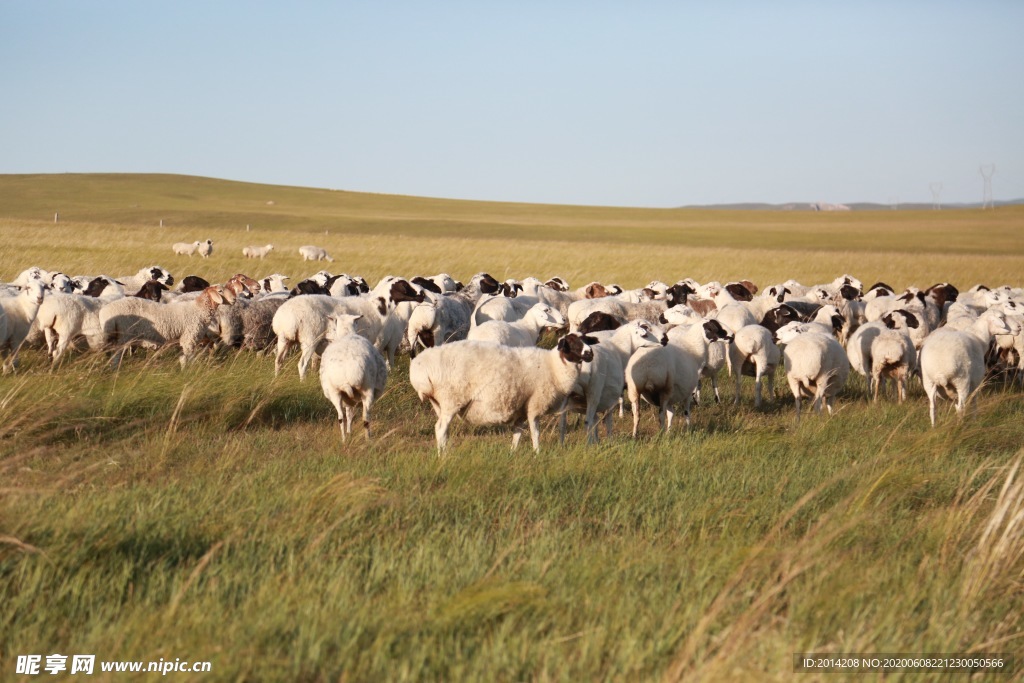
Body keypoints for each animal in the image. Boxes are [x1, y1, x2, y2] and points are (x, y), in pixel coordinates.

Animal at [98, 284, 230, 368]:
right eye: (220, 291)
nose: (233, 300)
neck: (198, 309)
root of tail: (105, 311)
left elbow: (183, 358)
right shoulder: (189, 338)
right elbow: (189, 358)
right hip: (123, 336)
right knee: (116, 356)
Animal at [319, 315, 387, 444]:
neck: (346, 333)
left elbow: (349, 415)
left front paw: (349, 433)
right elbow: (350, 414)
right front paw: (350, 433)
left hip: (336, 392)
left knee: (342, 418)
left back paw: (345, 440)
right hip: (366, 390)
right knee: (365, 418)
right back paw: (367, 439)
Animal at [407, 331, 598, 450]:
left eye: (586, 339)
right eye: (571, 342)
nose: (590, 354)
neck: (554, 367)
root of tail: (419, 369)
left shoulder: (522, 408)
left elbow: (517, 434)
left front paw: (513, 453)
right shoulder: (534, 405)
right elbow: (535, 433)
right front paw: (537, 453)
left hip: (439, 404)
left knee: (442, 430)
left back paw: (443, 451)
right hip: (451, 399)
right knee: (440, 429)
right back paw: (444, 456)